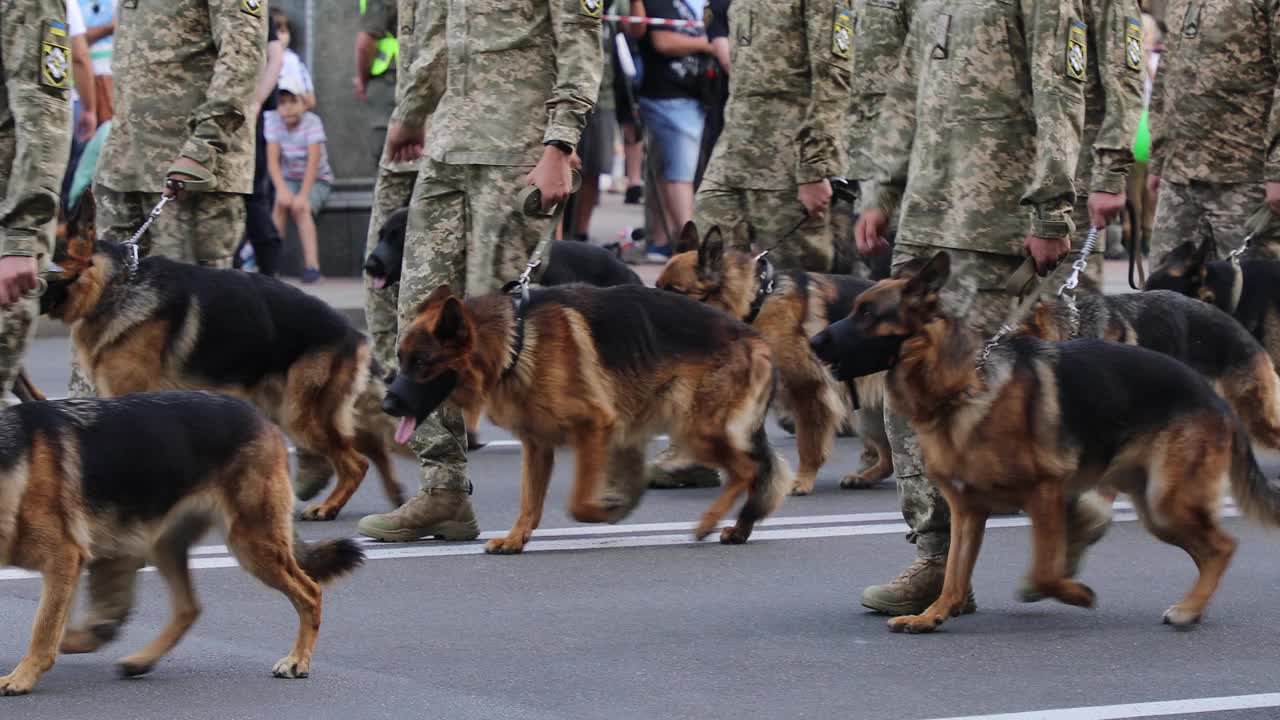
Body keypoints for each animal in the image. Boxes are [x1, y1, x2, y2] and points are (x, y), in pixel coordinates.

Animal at [2, 389, 363, 691]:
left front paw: (22, 677)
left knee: (310, 592)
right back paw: (140, 660)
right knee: (189, 608)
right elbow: (49, 624)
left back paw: (298, 660)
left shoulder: (63, 558)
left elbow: (43, 628)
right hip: (166, 546)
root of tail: (258, 415)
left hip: (252, 546)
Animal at [42, 198, 399, 517]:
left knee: (356, 462)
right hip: (288, 409)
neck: (115, 285)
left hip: (301, 414)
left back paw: (329, 507)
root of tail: (353, 333)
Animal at [381, 280, 788, 548]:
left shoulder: (595, 427)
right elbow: (530, 501)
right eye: (400, 359)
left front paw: (609, 511)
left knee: (747, 470)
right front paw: (515, 539)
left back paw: (709, 521)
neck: (516, 344)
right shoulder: (537, 445)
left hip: (694, 429)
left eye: (422, 364)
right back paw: (740, 528)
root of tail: (757, 340)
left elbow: (578, 504)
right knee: (757, 471)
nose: (386, 406)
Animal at [655, 224, 885, 491]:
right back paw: (866, 476)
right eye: (657, 287)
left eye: (674, 292)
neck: (755, 304)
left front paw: (802, 480)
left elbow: (808, 443)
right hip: (869, 414)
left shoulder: (807, 390)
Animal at [808, 253, 1280, 632]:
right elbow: (955, 573)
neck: (960, 385)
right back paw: (1192, 606)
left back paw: (1188, 608)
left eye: (867, 314)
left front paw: (1075, 592)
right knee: (1209, 550)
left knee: (1223, 546)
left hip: (1168, 501)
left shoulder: (1046, 494)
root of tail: (1214, 399)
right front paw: (933, 615)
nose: (812, 340)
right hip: (1156, 506)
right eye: (855, 309)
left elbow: (1043, 570)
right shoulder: (968, 512)